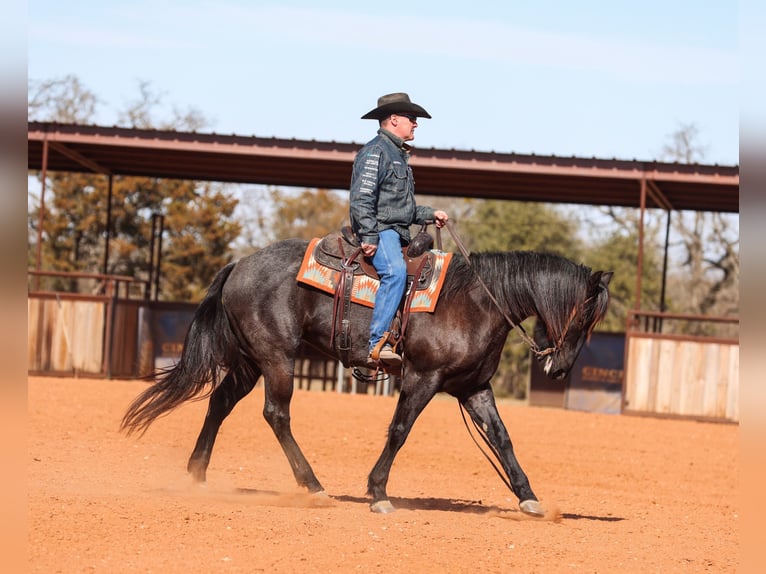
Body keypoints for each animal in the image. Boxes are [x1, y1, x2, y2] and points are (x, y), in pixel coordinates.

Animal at [121, 236, 612, 517]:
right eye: (584, 317)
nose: (560, 368)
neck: (475, 301)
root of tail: (238, 265)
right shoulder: (423, 378)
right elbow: (399, 431)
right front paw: (378, 492)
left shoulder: (473, 387)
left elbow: (502, 438)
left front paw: (528, 497)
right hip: (276, 359)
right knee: (276, 414)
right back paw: (314, 486)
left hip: (248, 361)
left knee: (220, 404)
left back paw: (197, 476)